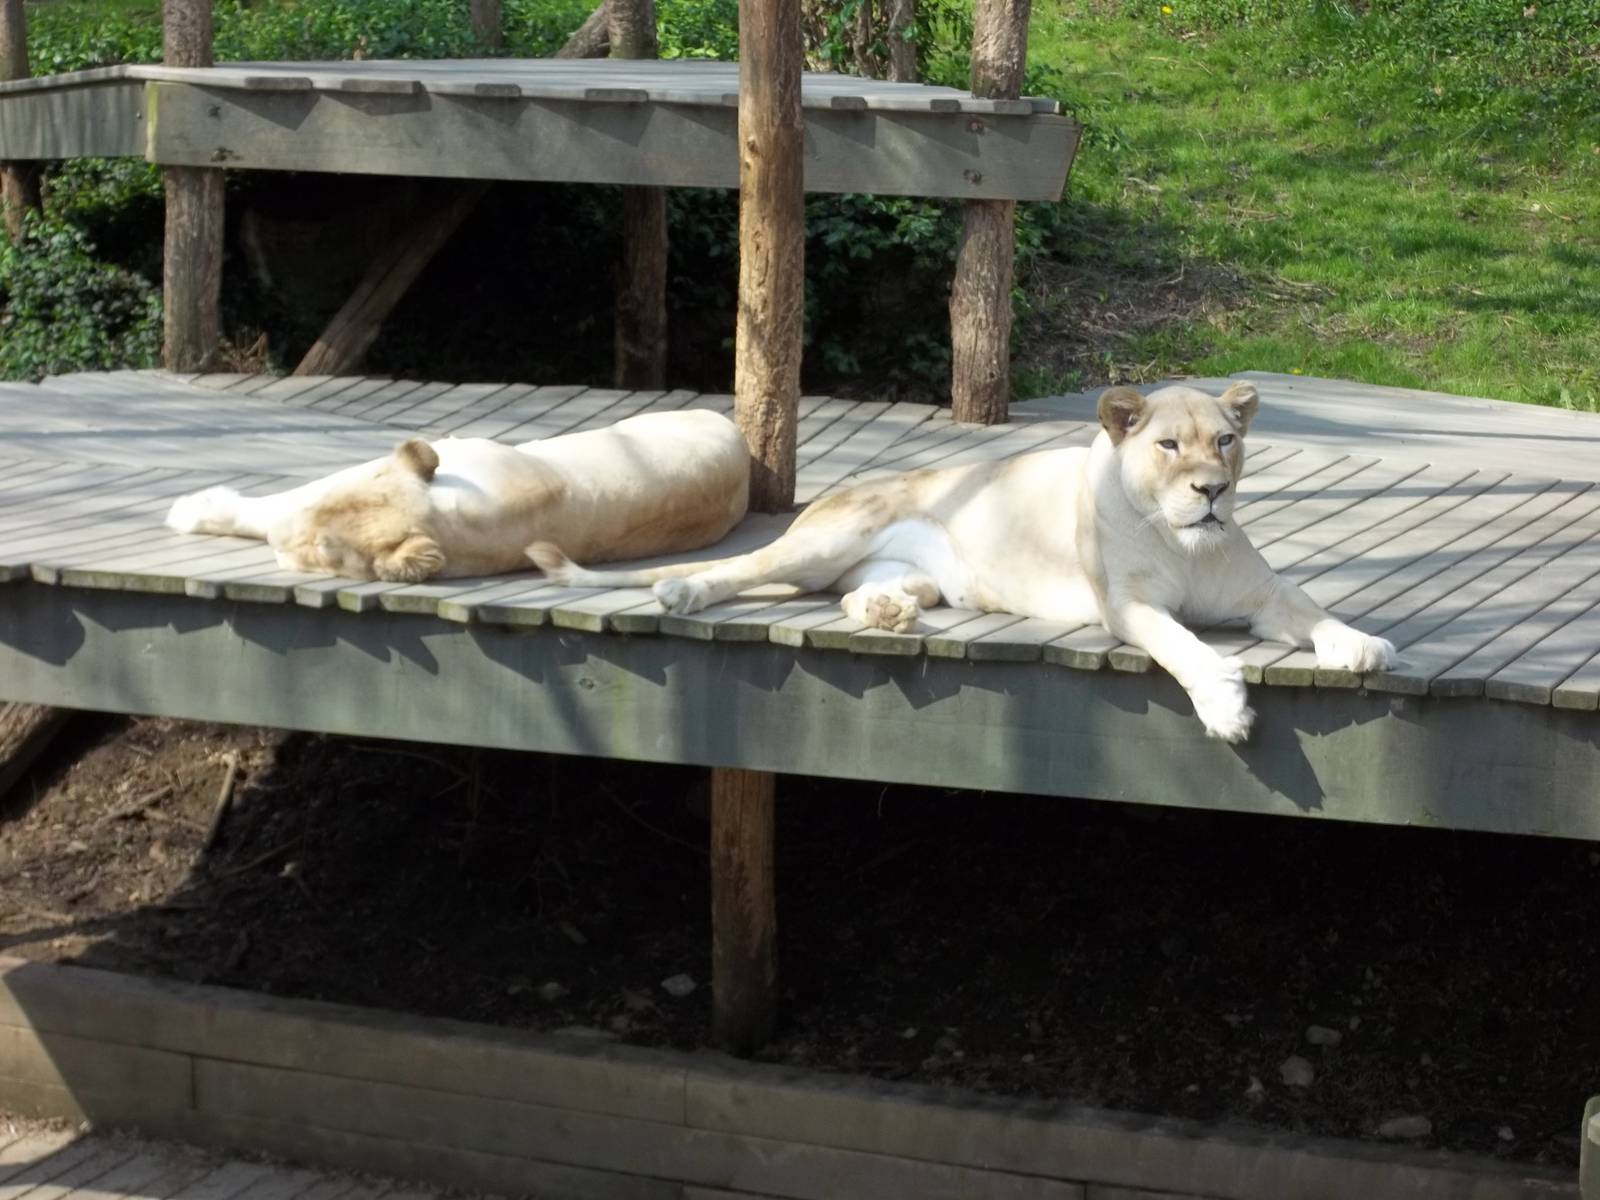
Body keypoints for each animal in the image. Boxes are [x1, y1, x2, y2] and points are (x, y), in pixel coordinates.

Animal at [529, 382, 1395, 742]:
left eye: (1225, 440)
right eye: (1168, 447)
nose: (1212, 491)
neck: (1186, 539)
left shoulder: (1264, 593)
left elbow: (1312, 609)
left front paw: (1360, 644)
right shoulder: (1127, 607)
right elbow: (1183, 646)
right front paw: (1226, 707)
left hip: (906, 572)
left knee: (851, 595)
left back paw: (888, 612)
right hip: (825, 539)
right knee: (750, 569)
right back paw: (683, 589)